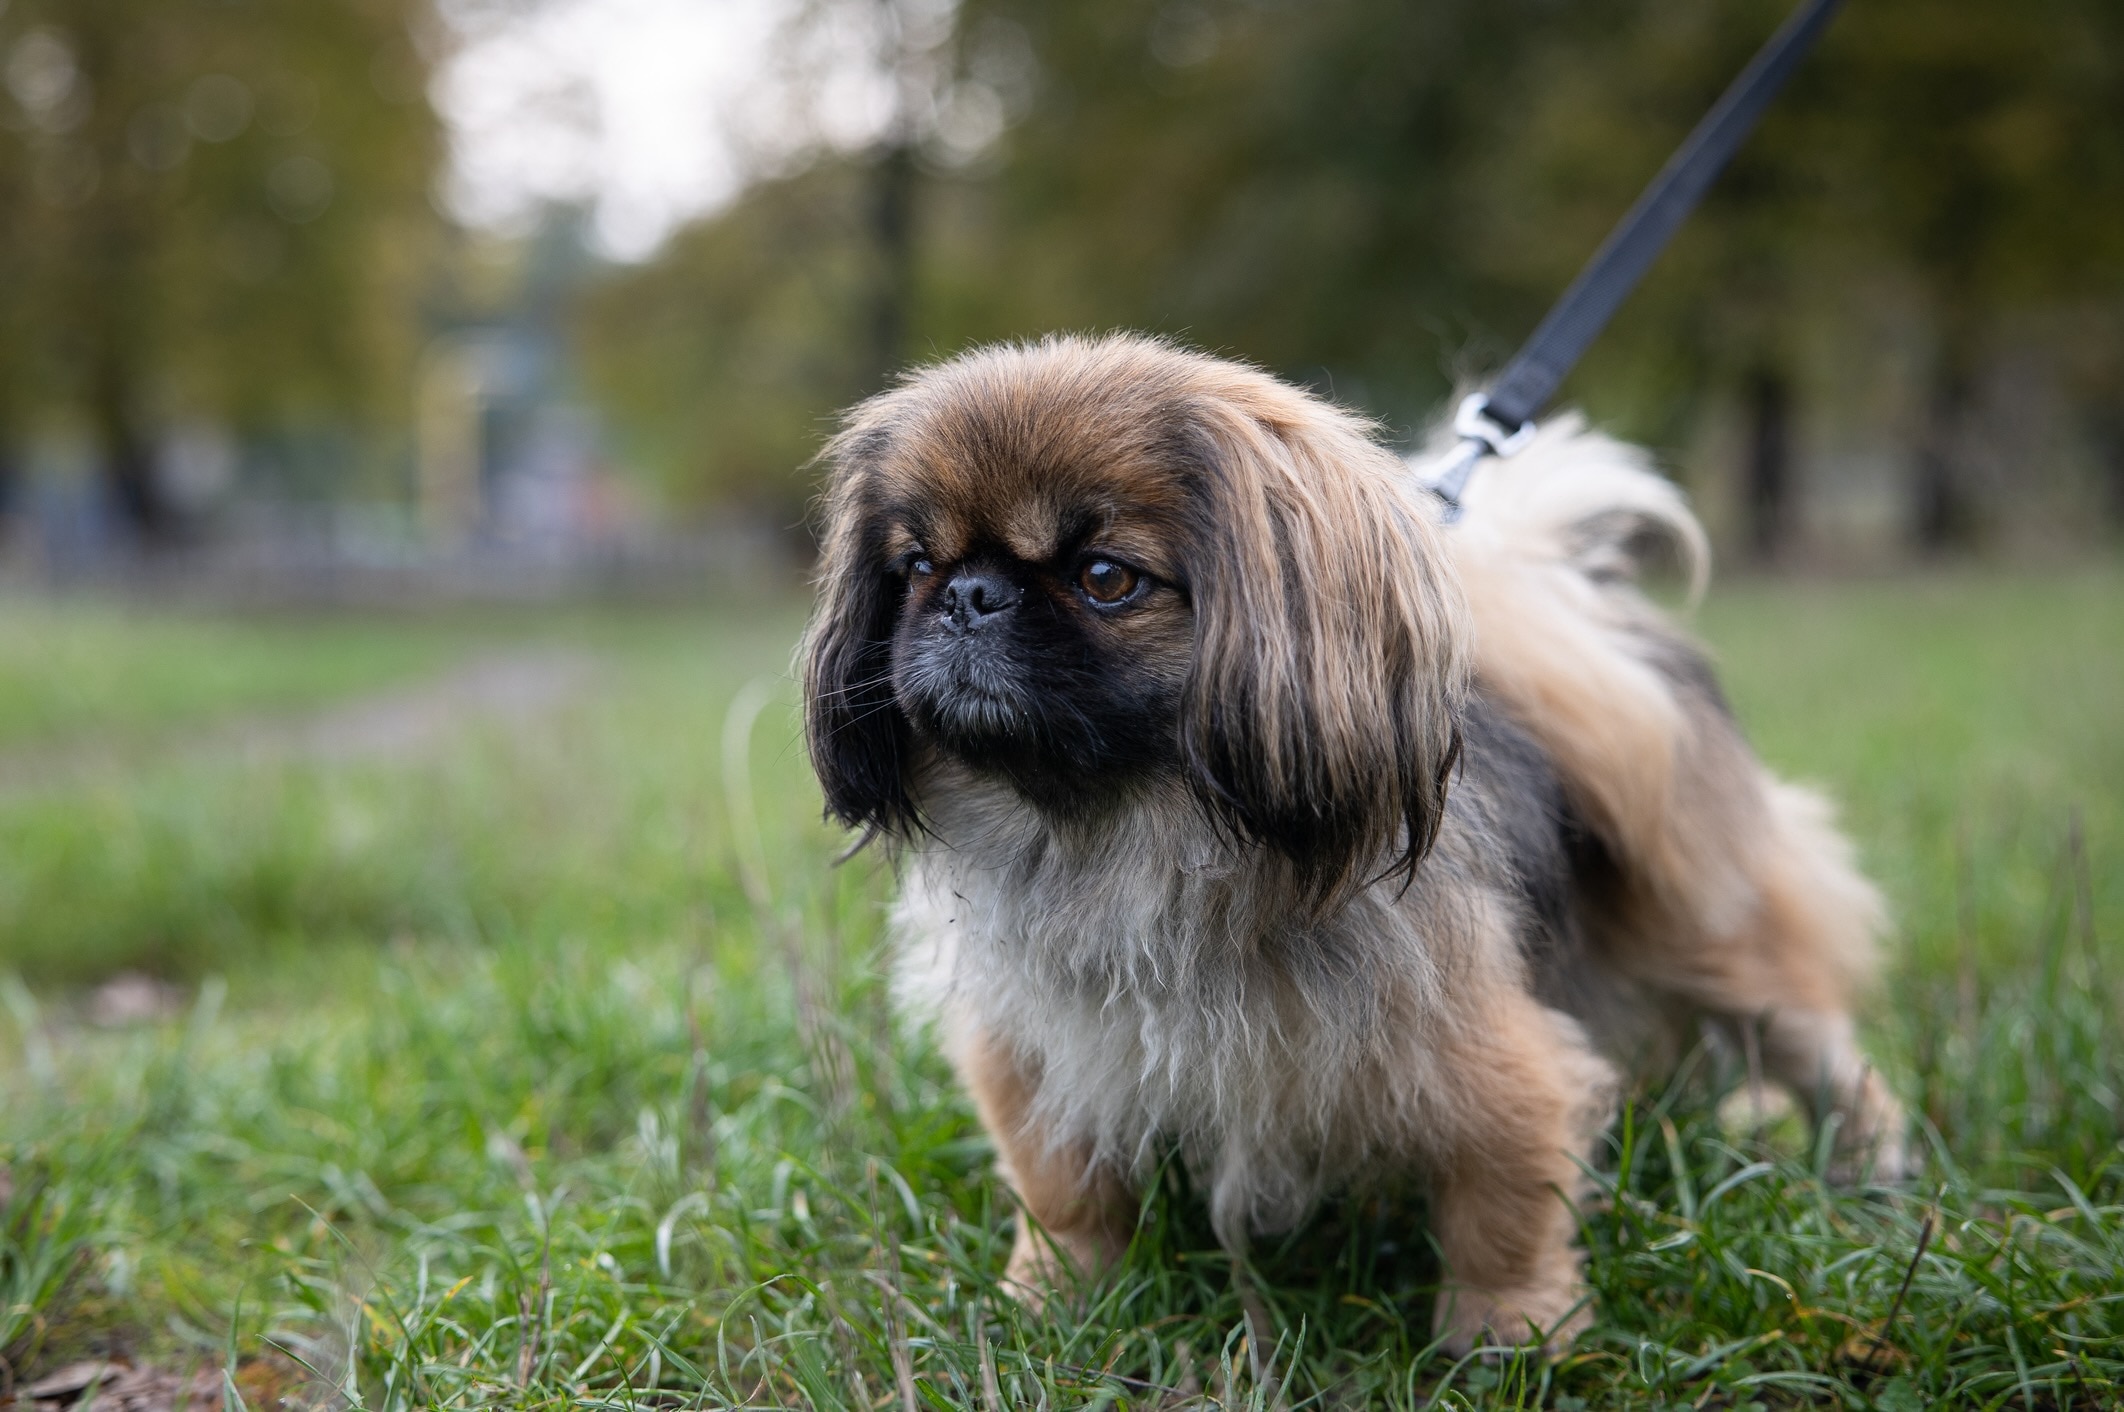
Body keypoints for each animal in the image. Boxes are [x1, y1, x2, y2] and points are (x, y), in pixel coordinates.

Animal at [798, 333, 1911, 1358]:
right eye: (916, 568)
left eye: (1106, 577)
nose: (968, 596)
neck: (1128, 834)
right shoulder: (1036, 1057)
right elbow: (1065, 1193)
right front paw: (1054, 1302)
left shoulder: (1494, 1060)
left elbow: (1503, 1205)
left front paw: (1508, 1335)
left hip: (1723, 947)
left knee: (1828, 1060)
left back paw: (1874, 1175)